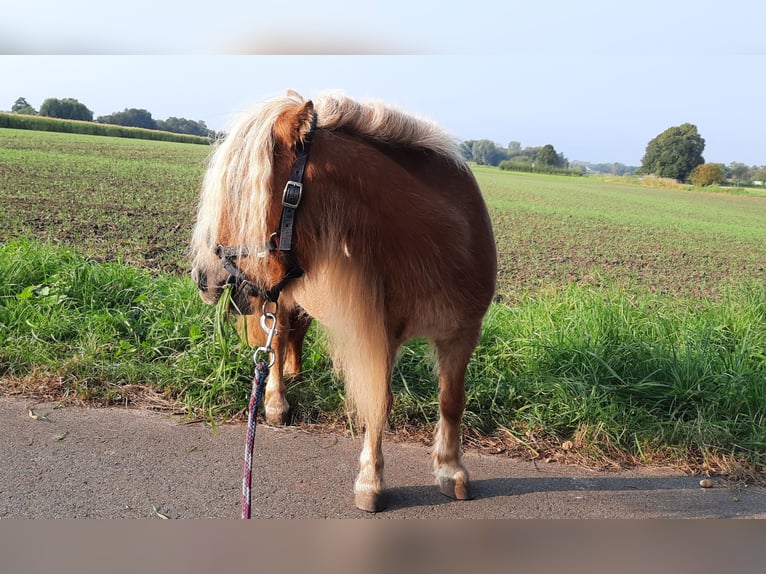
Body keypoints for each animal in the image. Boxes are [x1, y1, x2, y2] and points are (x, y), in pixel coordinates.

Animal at [192, 90, 498, 512]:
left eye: (243, 191)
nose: (204, 279)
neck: (437, 242)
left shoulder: (462, 334)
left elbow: (452, 401)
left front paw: (451, 470)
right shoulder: (380, 338)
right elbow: (378, 403)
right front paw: (371, 481)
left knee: (292, 339)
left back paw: (295, 372)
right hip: (277, 303)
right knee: (278, 342)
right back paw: (276, 403)